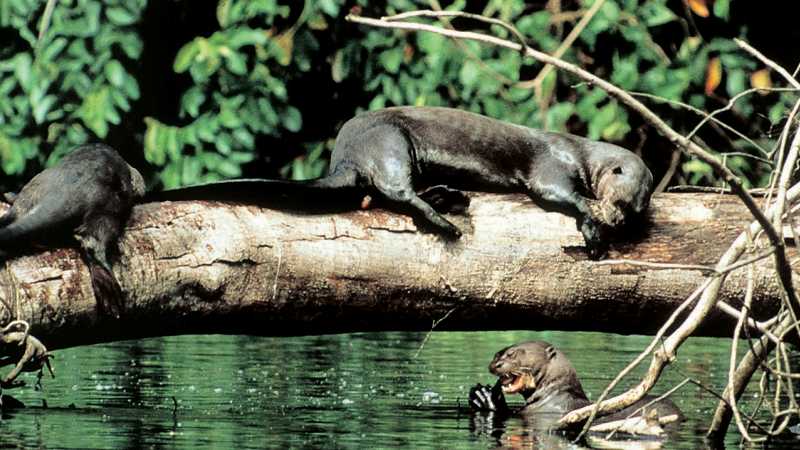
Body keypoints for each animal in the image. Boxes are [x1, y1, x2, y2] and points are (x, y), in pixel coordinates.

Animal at [150, 107, 652, 257]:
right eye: (620, 201)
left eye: (636, 208)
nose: (619, 219)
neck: (581, 153)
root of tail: (345, 156)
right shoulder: (550, 166)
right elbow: (560, 195)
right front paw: (592, 227)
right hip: (390, 142)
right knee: (396, 192)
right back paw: (448, 219)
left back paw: (450, 199)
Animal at [469, 341, 682, 430]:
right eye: (497, 354)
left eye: (512, 354)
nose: (495, 364)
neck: (554, 394)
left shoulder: (540, 412)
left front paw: (484, 397)